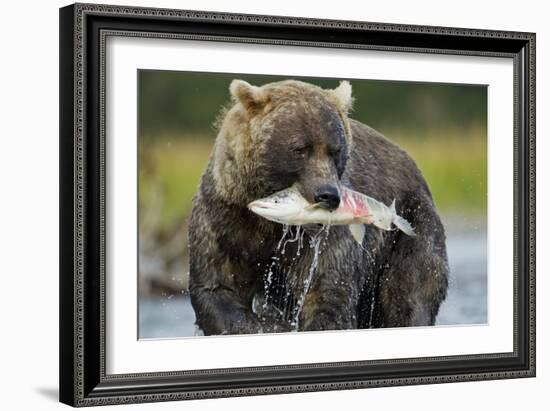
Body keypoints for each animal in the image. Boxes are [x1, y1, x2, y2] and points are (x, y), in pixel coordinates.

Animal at [189, 79, 448, 334]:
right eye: (300, 149)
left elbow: (327, 293)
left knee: (409, 293)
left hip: (410, 228)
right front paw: (272, 325)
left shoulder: (325, 238)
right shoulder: (225, 218)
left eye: (335, 150)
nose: (328, 195)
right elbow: (218, 288)